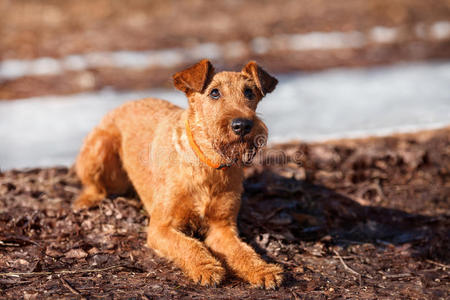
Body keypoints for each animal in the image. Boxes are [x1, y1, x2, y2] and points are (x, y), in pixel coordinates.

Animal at [74, 60, 284, 288]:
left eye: (249, 92)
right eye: (214, 92)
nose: (243, 125)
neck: (208, 164)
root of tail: (125, 103)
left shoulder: (222, 227)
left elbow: (243, 250)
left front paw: (262, 270)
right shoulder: (160, 228)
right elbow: (188, 245)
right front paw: (206, 268)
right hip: (99, 148)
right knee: (94, 185)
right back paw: (86, 200)